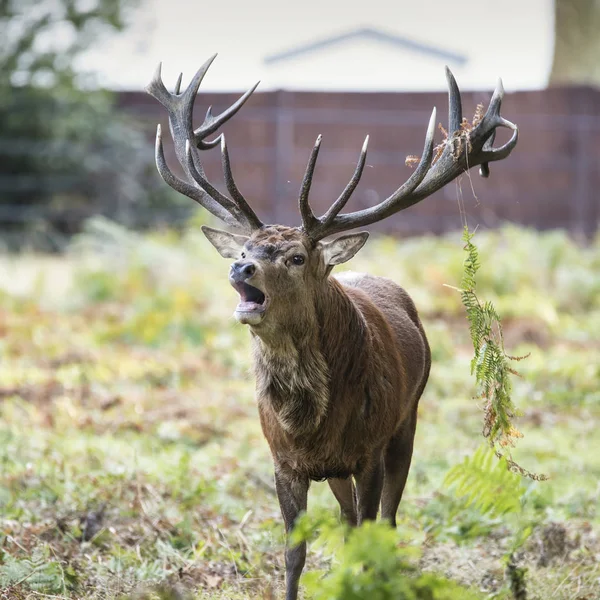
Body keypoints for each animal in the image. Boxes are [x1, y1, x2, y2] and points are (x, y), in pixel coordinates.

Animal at [145, 54, 516, 596]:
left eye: (297, 257)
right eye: (244, 248)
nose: (240, 268)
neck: (309, 427)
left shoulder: (368, 452)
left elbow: (372, 532)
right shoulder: (283, 462)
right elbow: (295, 552)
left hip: (406, 423)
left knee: (384, 522)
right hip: (342, 469)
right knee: (347, 522)